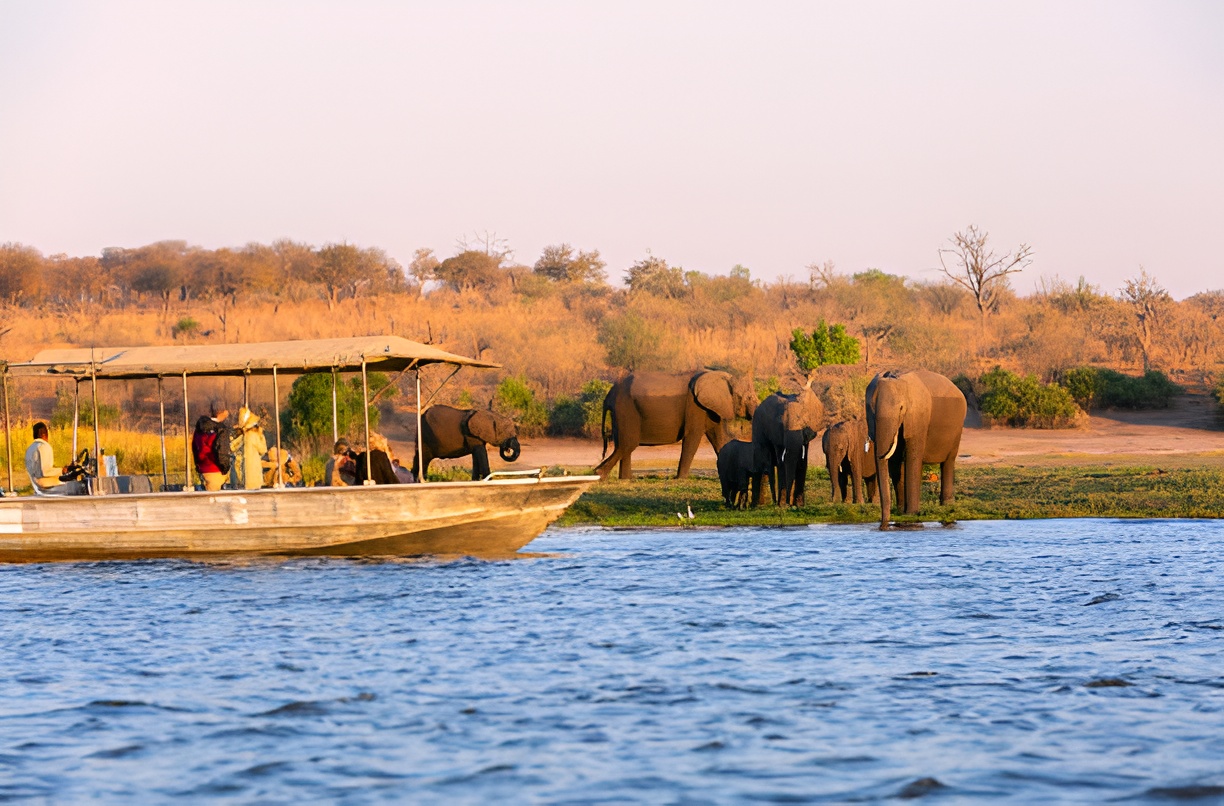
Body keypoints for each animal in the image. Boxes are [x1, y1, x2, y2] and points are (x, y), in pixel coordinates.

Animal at [595, 370, 757, 480]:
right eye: (748, 398)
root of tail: (609, 395)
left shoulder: (711, 409)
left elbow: (721, 440)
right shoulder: (695, 406)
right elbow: (692, 438)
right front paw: (681, 479)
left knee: (625, 445)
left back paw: (626, 479)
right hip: (625, 409)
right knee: (628, 444)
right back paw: (599, 475)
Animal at [865, 370, 967, 528]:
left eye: (901, 408)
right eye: (870, 409)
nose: (884, 523)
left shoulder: (918, 417)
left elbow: (912, 459)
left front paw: (911, 515)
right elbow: (895, 464)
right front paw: (901, 513)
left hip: (957, 428)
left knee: (948, 462)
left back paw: (947, 507)